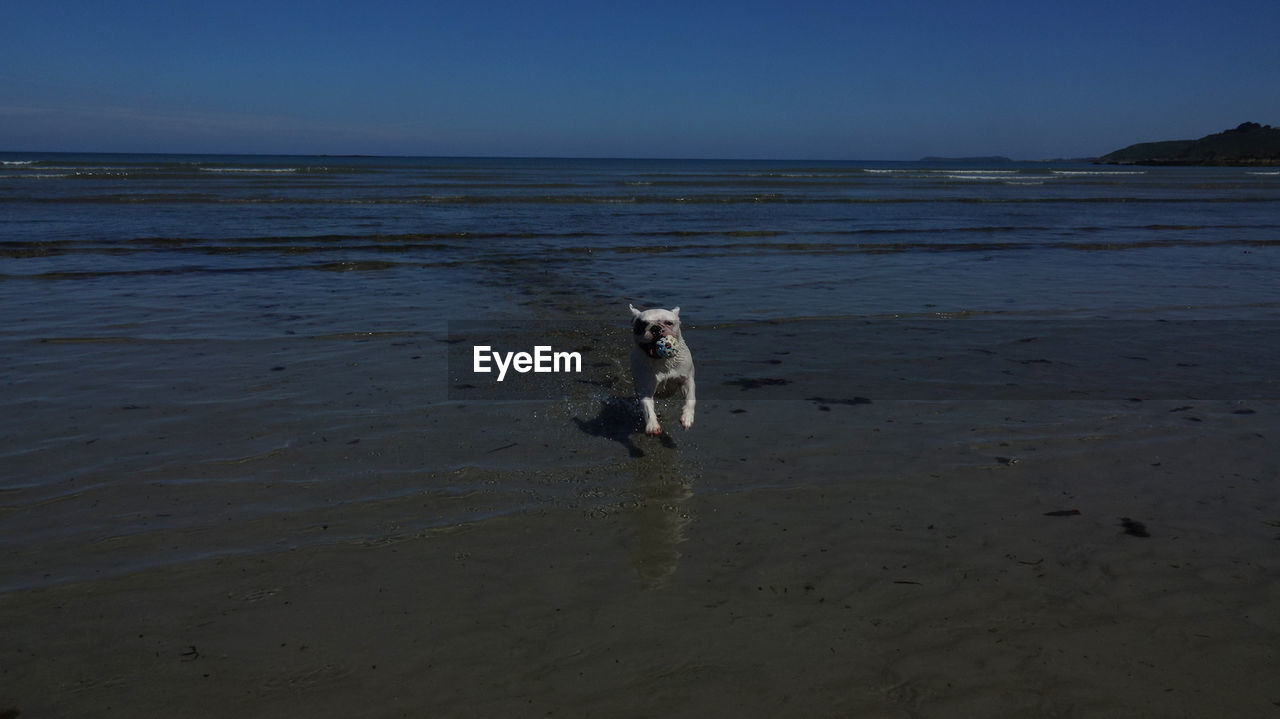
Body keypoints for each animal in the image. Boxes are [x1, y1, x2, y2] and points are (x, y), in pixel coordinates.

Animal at [627, 300, 696, 434]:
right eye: (642, 324)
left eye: (669, 323)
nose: (656, 328)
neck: (663, 361)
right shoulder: (645, 389)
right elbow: (648, 408)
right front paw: (652, 425)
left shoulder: (687, 380)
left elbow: (691, 398)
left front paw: (687, 417)